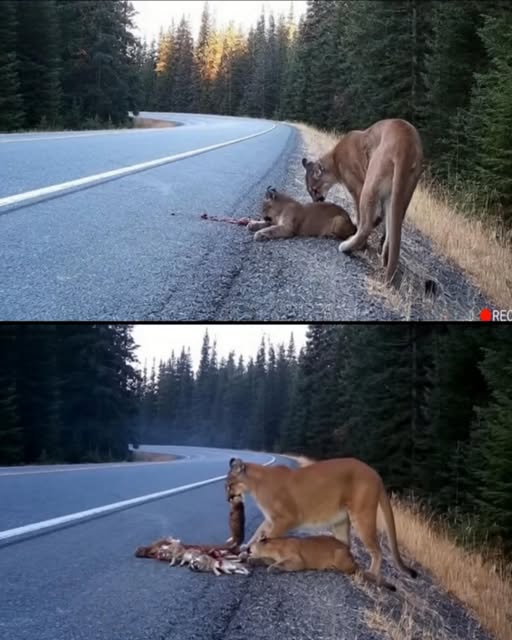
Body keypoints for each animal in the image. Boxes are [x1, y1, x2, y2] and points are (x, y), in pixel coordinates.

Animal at [226, 457, 417, 587]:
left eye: (228, 485)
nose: (228, 498)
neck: (256, 484)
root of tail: (375, 473)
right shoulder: (270, 519)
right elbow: (257, 532)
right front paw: (245, 548)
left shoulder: (285, 519)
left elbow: (268, 538)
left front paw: (251, 554)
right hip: (341, 521)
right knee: (346, 544)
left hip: (362, 515)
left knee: (377, 551)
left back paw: (370, 575)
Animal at [302, 118, 423, 283]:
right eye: (310, 191)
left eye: (314, 190)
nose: (316, 201)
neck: (335, 158)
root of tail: (406, 144)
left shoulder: (357, 187)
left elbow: (361, 216)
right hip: (400, 194)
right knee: (393, 227)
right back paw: (384, 259)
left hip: (370, 184)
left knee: (366, 226)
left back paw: (347, 246)